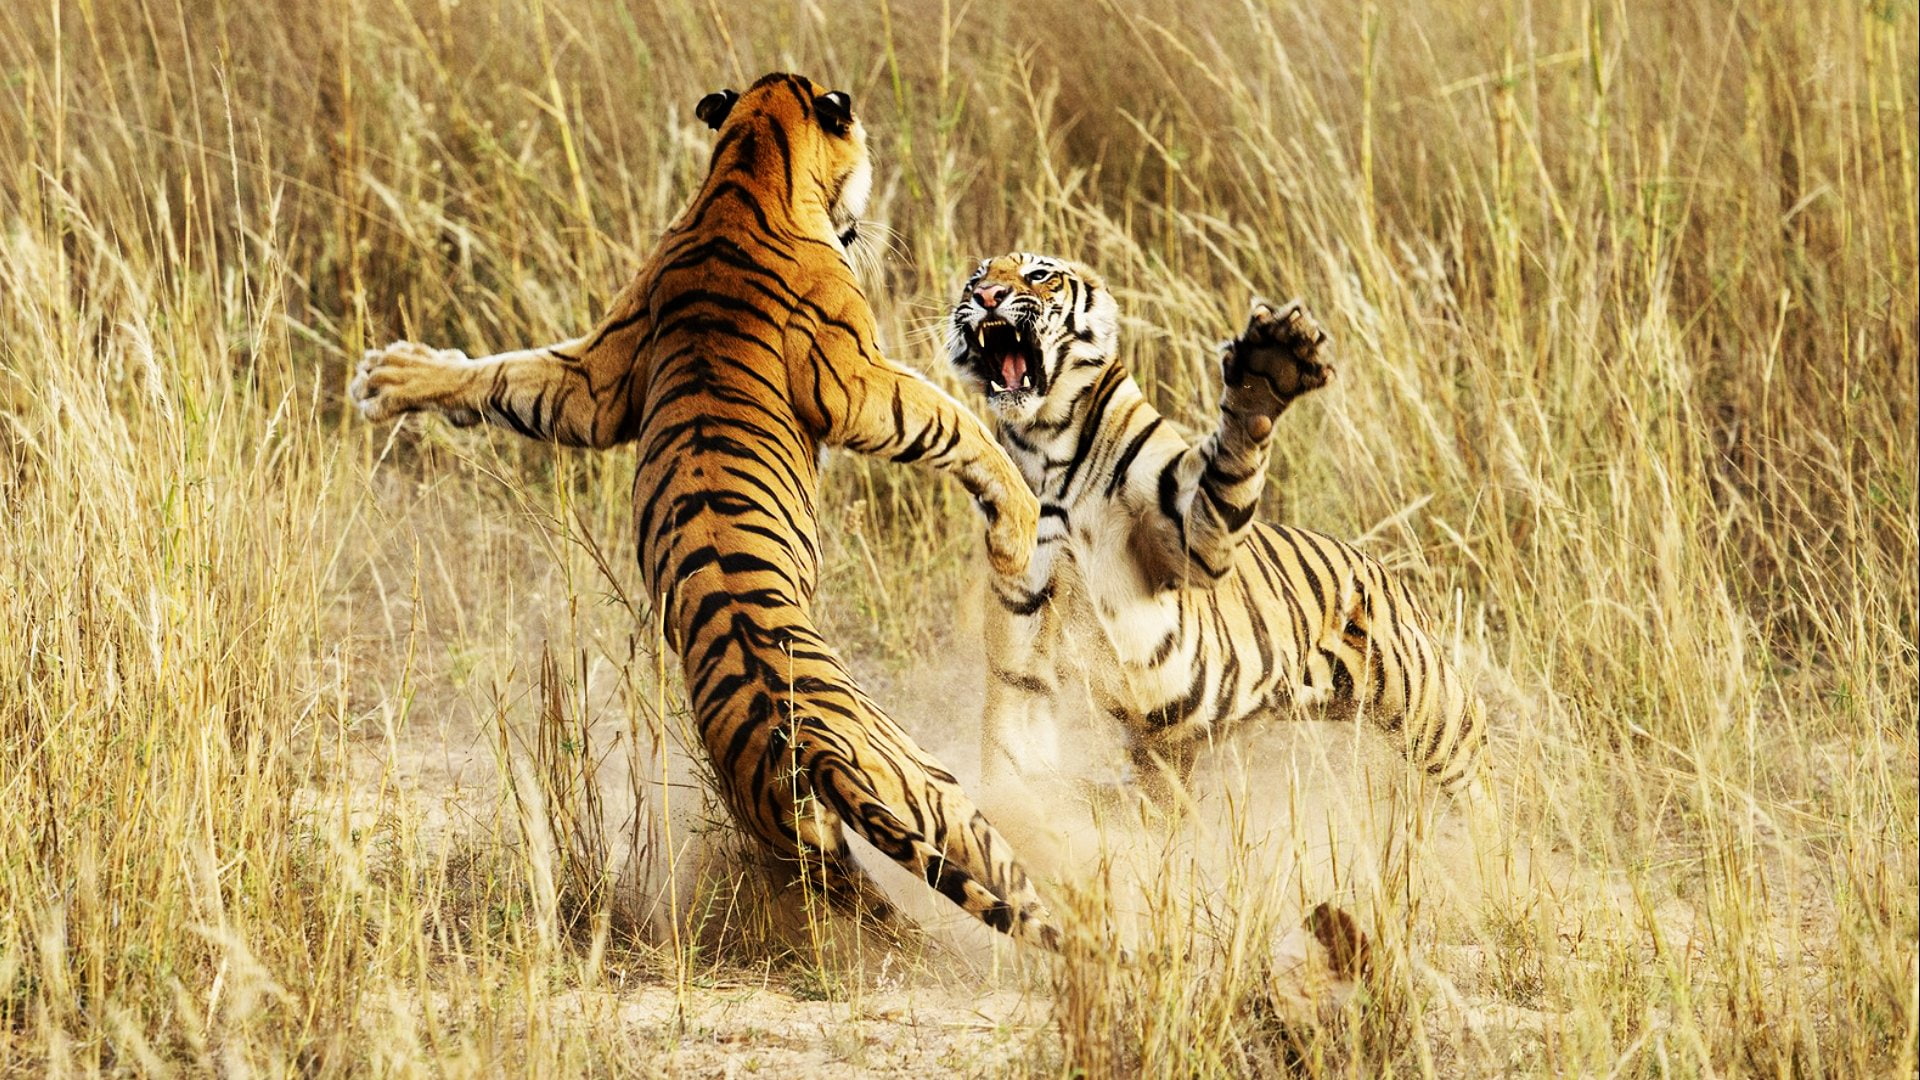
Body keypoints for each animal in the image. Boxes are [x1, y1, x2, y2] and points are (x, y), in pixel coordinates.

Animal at [349, 75, 1065, 950]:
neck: (746, 164)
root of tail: (809, 751)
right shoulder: (856, 382)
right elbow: (955, 423)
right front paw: (1017, 529)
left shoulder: (596, 380)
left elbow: (506, 377)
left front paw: (394, 377)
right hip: (935, 789)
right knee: (1011, 890)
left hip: (819, 837)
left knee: (883, 904)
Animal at [945, 253, 1487, 800]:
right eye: (976, 280)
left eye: (1039, 275)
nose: (986, 296)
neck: (1047, 441)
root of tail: (1387, 574)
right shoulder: (1025, 630)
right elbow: (1015, 747)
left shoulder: (1188, 539)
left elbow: (1231, 459)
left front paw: (1268, 367)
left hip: (1429, 706)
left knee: (1476, 759)